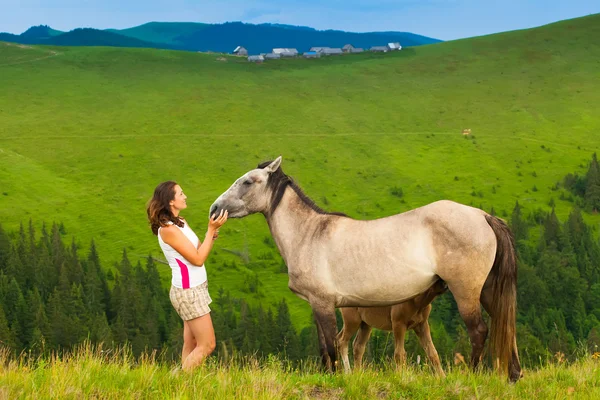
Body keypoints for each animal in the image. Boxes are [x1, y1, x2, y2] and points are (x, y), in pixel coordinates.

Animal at [211, 156, 520, 382]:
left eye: (248, 181)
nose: (215, 209)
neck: (309, 234)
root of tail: (483, 216)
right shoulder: (316, 304)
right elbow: (325, 346)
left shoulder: (323, 303)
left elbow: (331, 346)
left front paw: (337, 379)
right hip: (488, 291)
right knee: (505, 324)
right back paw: (513, 375)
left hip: (466, 291)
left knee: (479, 331)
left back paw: (473, 375)